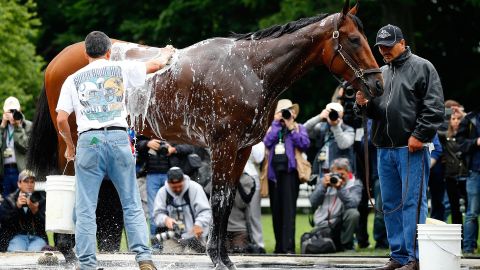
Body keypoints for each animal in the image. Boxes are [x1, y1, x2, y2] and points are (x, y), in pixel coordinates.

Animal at [29, 1, 382, 268]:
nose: (377, 84)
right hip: (71, 141)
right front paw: (216, 257)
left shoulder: (242, 149)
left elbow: (226, 201)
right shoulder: (223, 147)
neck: (250, 69)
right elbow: (219, 199)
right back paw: (69, 251)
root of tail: (57, 61)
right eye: (353, 40)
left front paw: (224, 257)